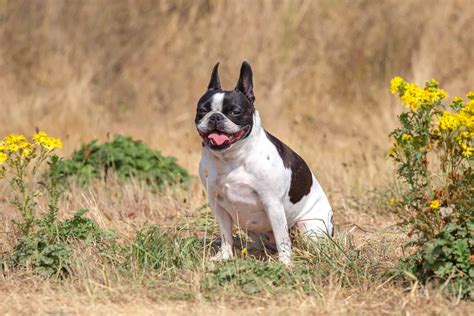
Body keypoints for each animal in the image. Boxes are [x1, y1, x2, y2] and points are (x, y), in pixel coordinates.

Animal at [194, 61, 332, 264]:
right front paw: (224, 256)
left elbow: (282, 238)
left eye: (235, 112)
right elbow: (226, 234)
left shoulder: (272, 203)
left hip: (310, 228)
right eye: (202, 110)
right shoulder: (217, 204)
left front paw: (285, 263)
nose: (215, 116)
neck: (232, 158)